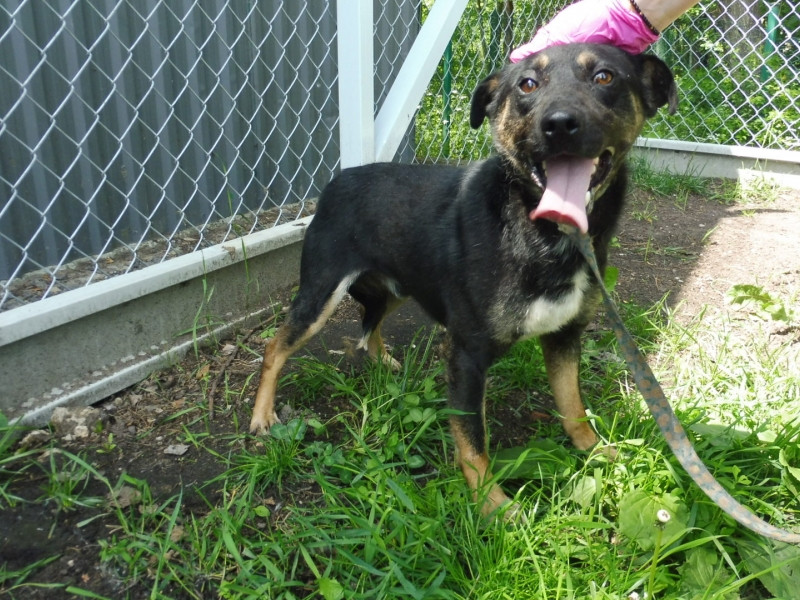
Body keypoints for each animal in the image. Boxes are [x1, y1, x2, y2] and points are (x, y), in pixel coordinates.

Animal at [249, 43, 677, 517]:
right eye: (527, 84)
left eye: (605, 76)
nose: (560, 124)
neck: (545, 235)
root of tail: (337, 180)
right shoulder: (466, 355)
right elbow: (473, 441)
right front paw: (494, 506)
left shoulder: (566, 335)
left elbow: (573, 405)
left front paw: (596, 451)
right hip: (322, 292)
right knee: (275, 346)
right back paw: (262, 415)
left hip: (403, 285)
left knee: (372, 322)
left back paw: (383, 361)